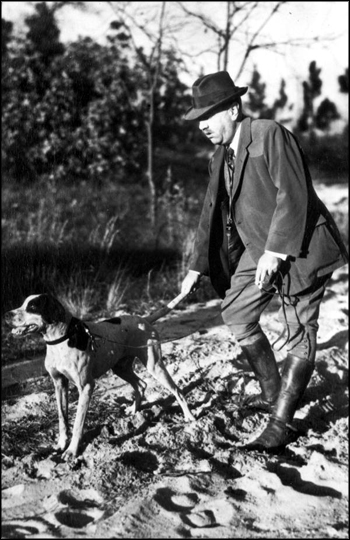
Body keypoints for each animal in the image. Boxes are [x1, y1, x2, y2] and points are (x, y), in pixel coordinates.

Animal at [4, 296, 196, 460]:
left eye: (32, 306)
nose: (6, 315)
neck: (62, 340)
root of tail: (144, 320)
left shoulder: (87, 387)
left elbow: (78, 424)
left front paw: (72, 451)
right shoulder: (59, 385)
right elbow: (62, 419)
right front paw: (61, 444)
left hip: (154, 365)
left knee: (177, 390)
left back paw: (189, 417)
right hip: (120, 368)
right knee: (141, 384)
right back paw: (133, 410)